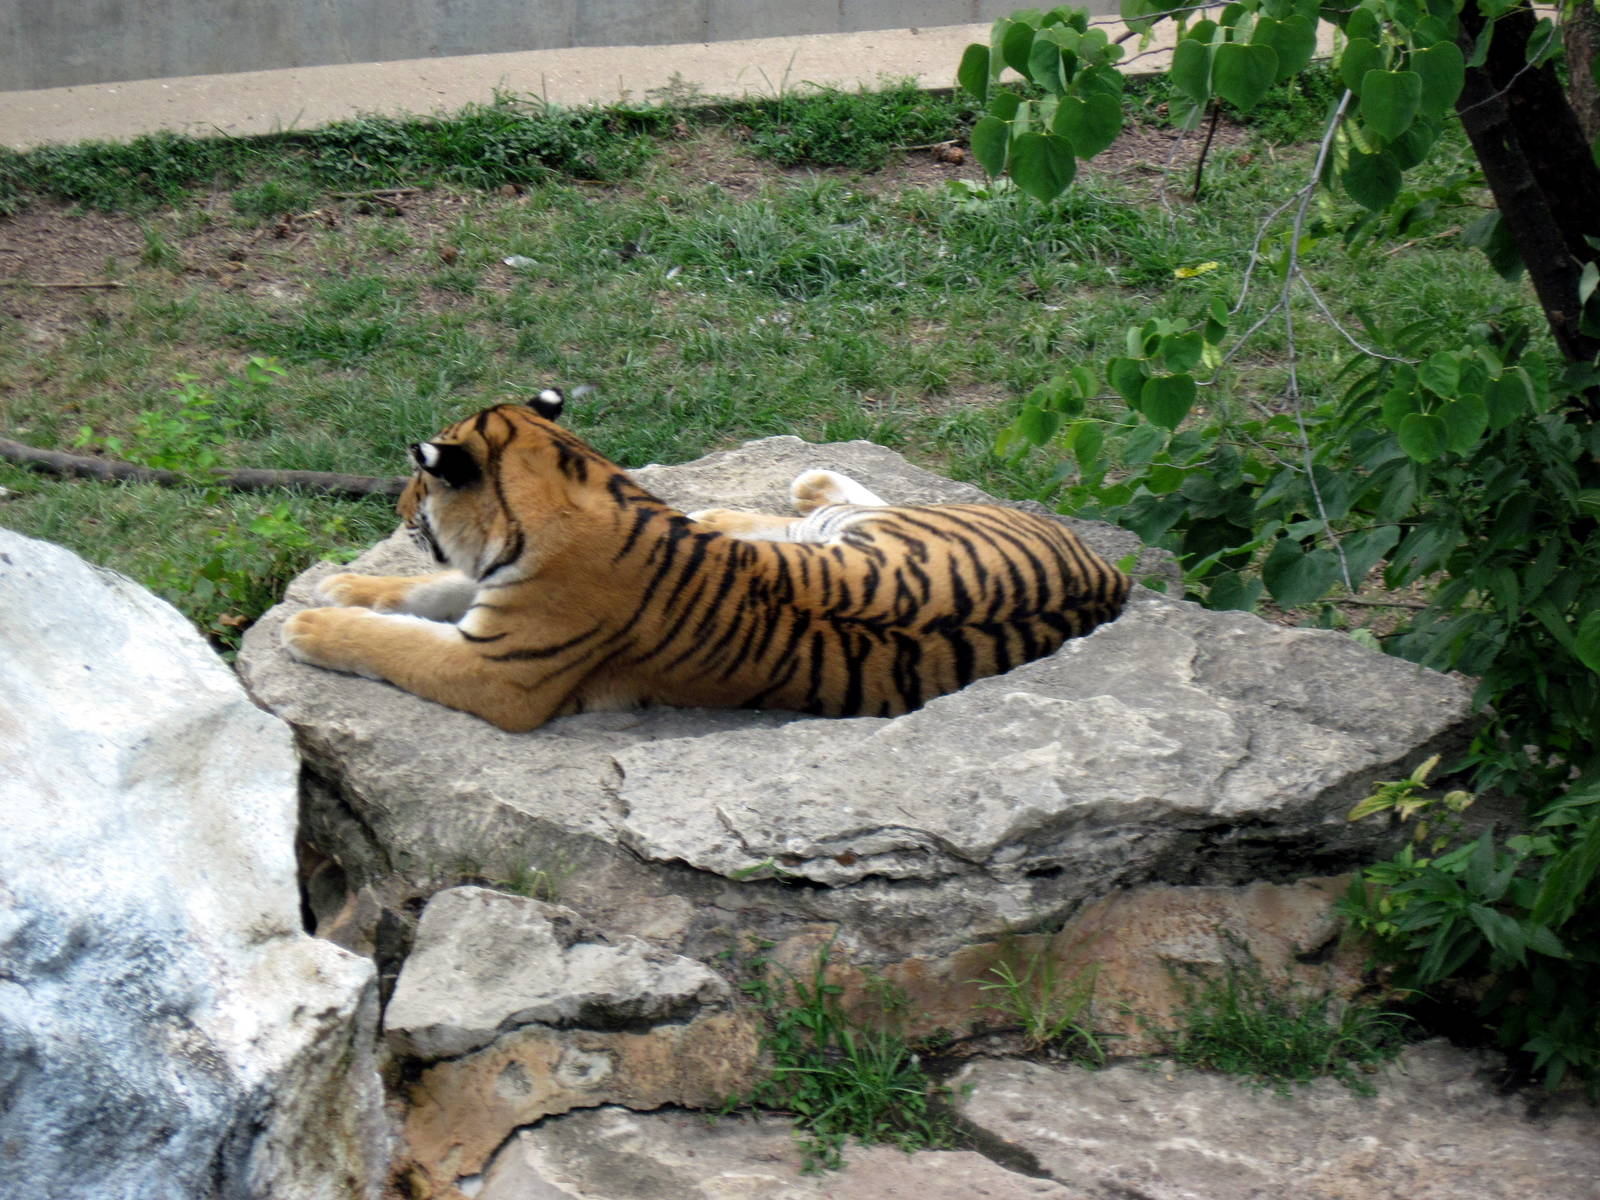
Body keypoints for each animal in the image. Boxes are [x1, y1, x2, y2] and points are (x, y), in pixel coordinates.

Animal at [280, 392, 1131, 732]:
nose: (397, 505)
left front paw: (313, 627)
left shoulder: (498, 672)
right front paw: (346, 581)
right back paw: (735, 512)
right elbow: (428, 590)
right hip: (860, 539)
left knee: (834, 505)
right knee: (821, 512)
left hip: (882, 532)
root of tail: (1111, 575)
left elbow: (398, 643)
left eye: (419, 481)